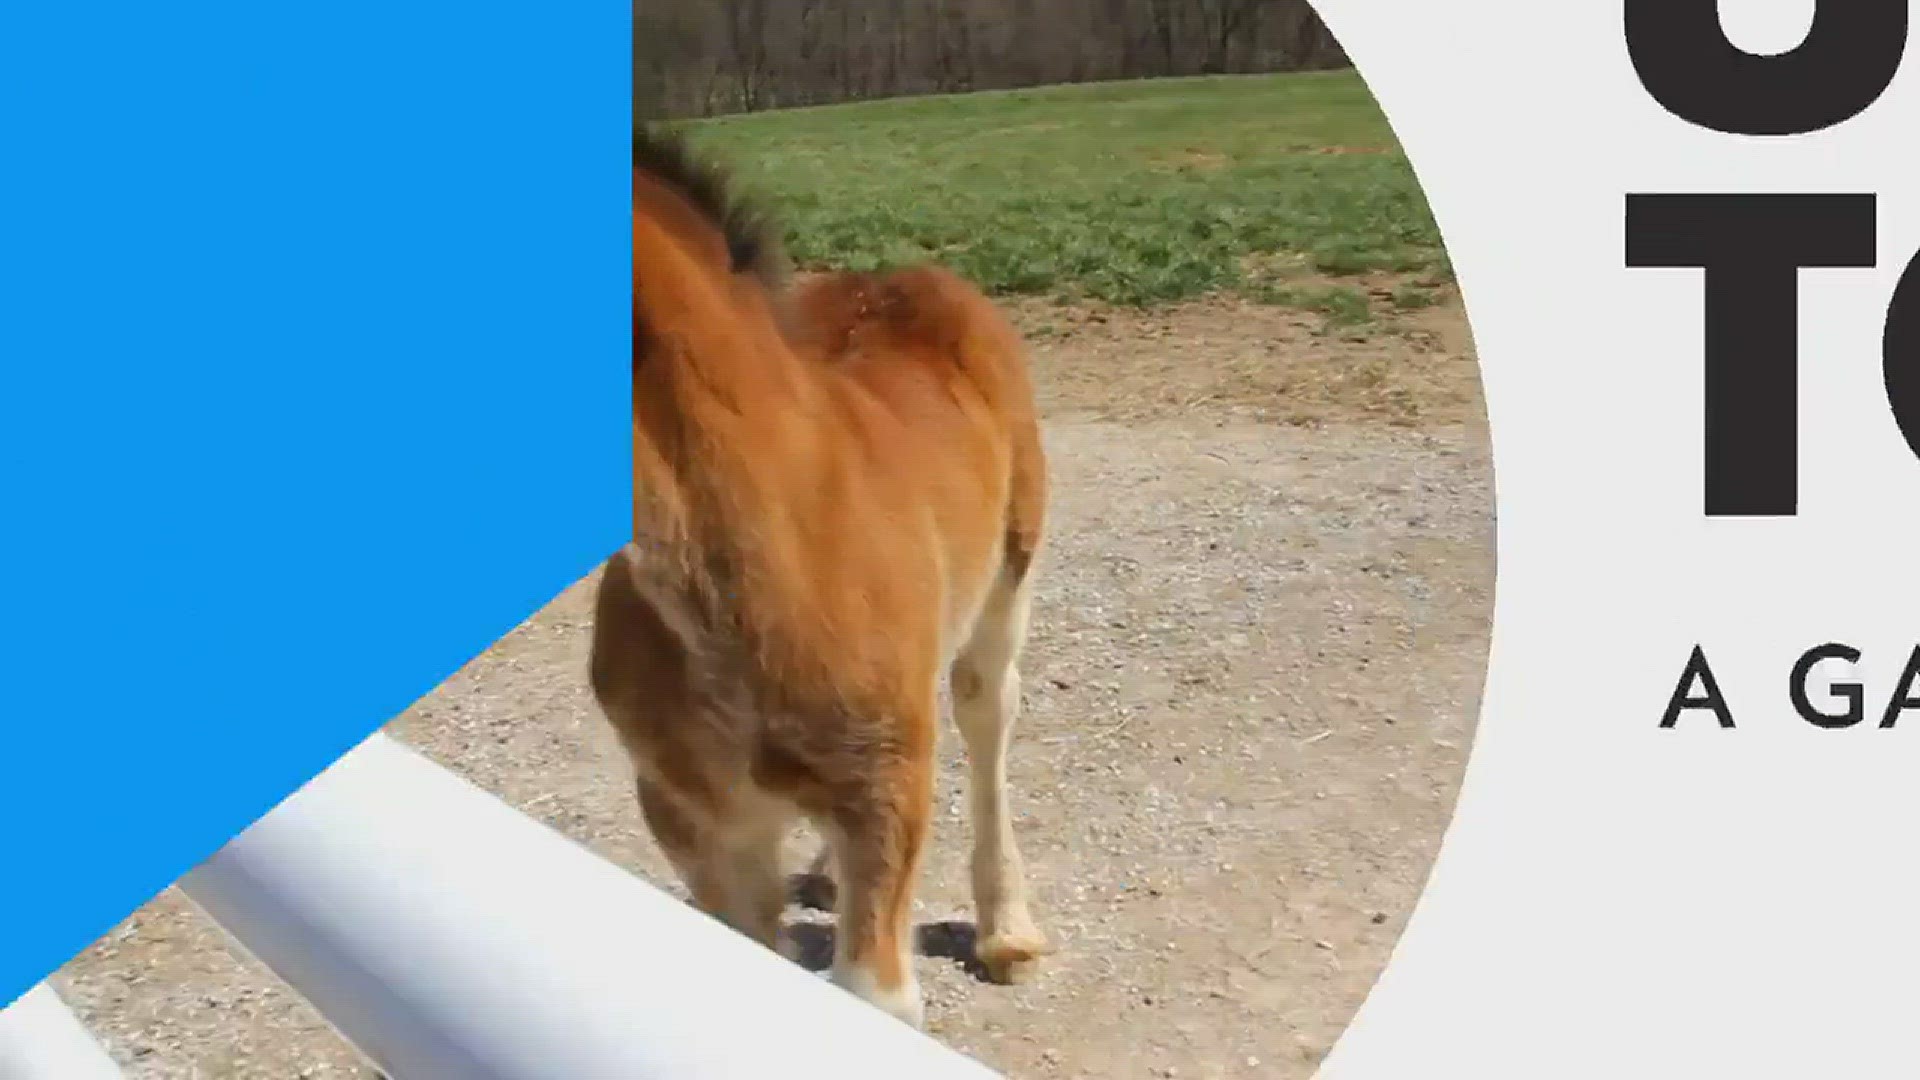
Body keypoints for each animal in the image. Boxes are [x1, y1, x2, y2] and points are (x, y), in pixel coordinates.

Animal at [591, 127, 1059, 1022]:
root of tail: (904, 276)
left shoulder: (886, 786)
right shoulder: (693, 816)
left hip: (1007, 580)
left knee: (987, 711)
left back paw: (1008, 931)